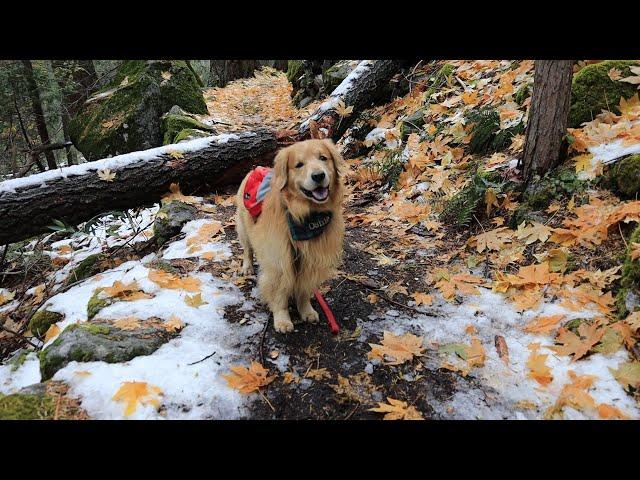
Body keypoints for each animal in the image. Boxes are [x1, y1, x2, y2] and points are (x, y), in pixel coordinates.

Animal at [235, 139, 344, 334]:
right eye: (299, 165)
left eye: (323, 158)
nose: (318, 176)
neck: (304, 216)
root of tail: (255, 168)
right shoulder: (279, 262)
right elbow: (279, 296)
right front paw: (282, 320)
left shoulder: (310, 260)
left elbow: (303, 291)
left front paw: (306, 310)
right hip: (243, 228)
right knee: (247, 249)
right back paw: (247, 267)